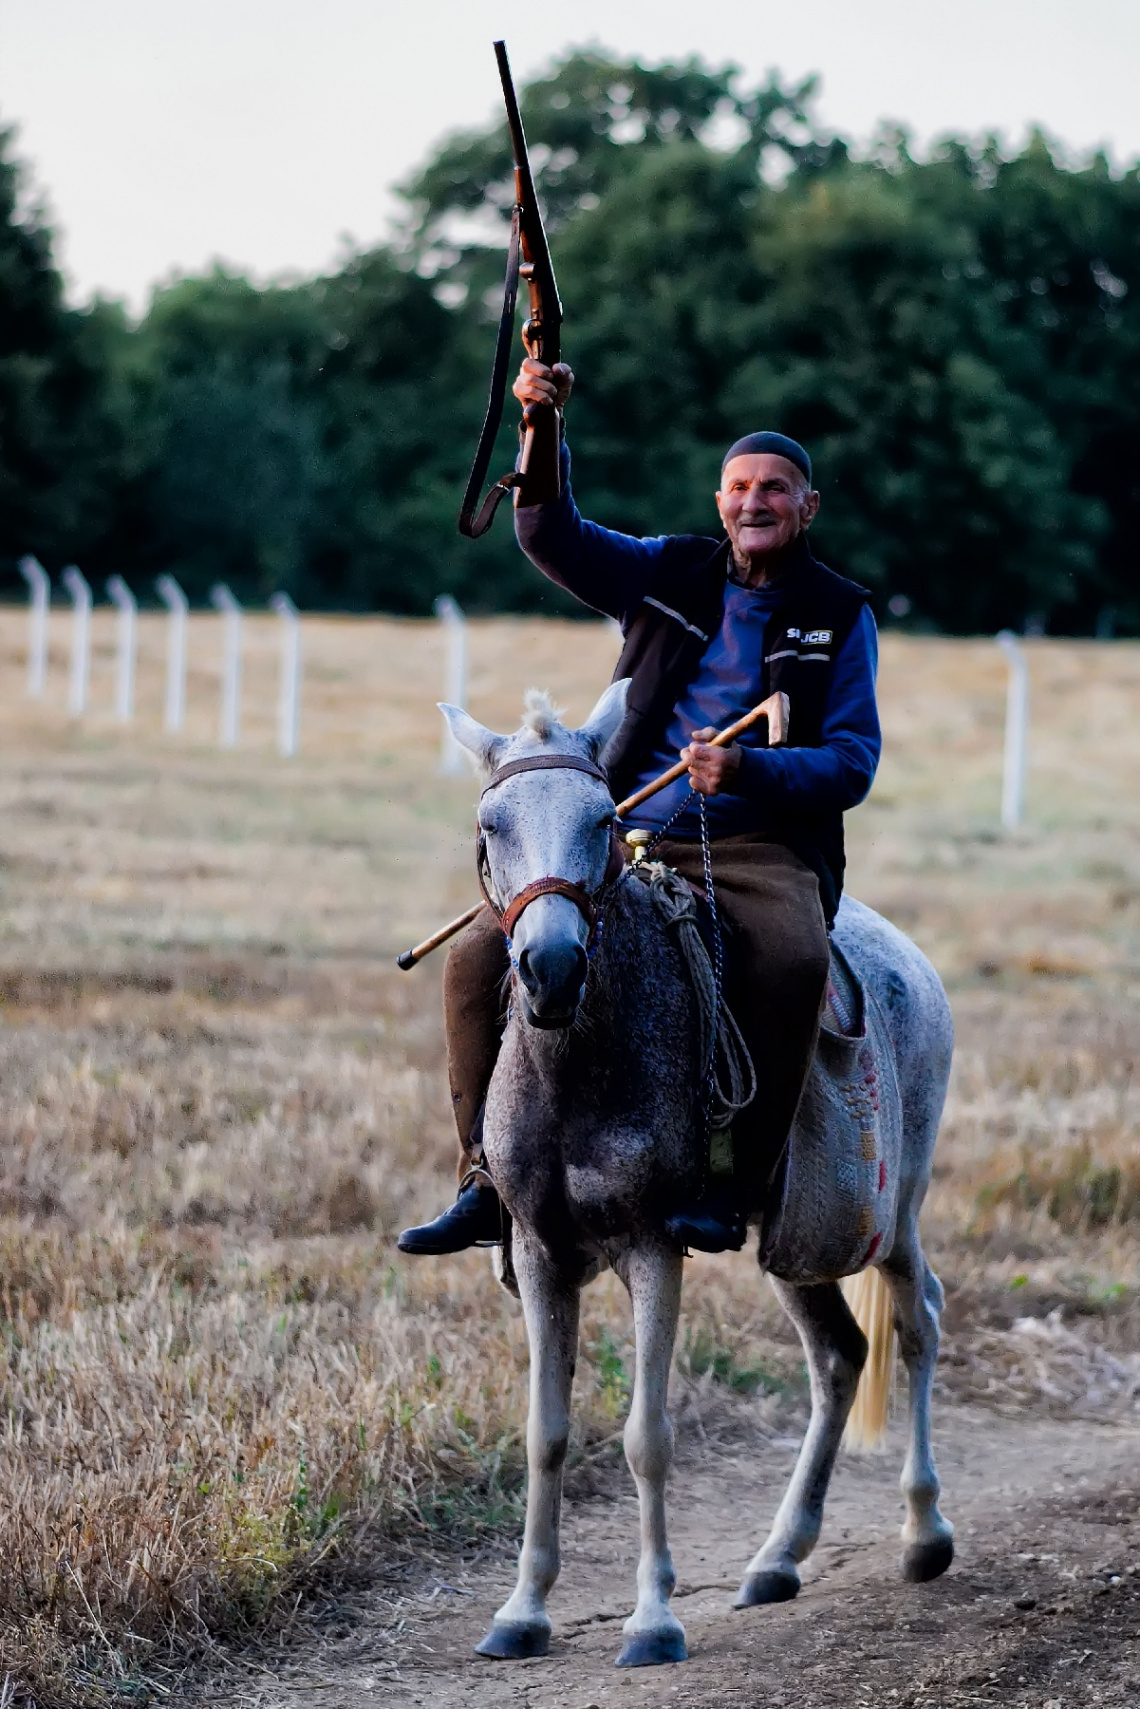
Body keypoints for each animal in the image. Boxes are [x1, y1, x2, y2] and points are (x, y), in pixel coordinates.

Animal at [444, 680, 957, 1667]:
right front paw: (522, 1609)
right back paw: (778, 1556)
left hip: (894, 1214)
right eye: (491, 823)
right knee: (840, 1355)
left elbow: (647, 1435)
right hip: (792, 1242)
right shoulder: (538, 1251)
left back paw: (923, 1532)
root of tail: (911, 957)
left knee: (917, 1322)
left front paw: (653, 1618)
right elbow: (545, 1432)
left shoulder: (654, 1245)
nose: (549, 966)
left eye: (604, 819)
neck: (579, 1061)